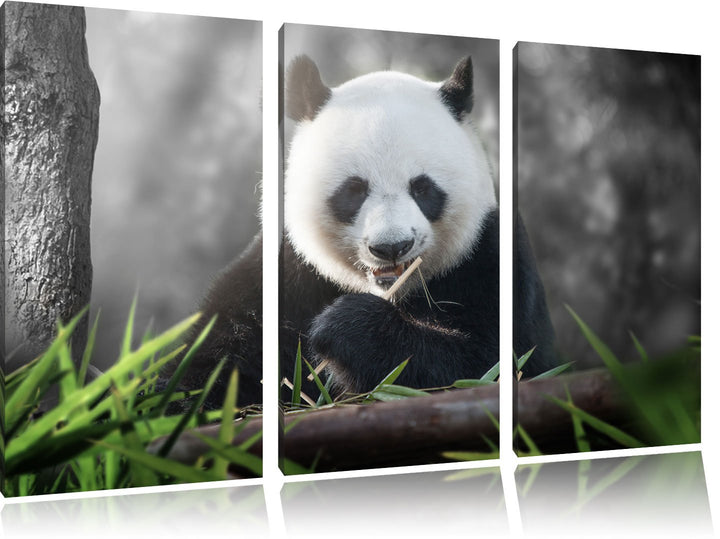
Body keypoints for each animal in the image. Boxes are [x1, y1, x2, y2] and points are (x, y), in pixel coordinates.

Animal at [176, 55, 556, 409]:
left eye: (422, 188)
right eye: (354, 190)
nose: (392, 247)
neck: (390, 292)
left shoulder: (490, 260)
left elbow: (492, 363)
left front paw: (346, 328)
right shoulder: (283, 276)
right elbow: (212, 358)